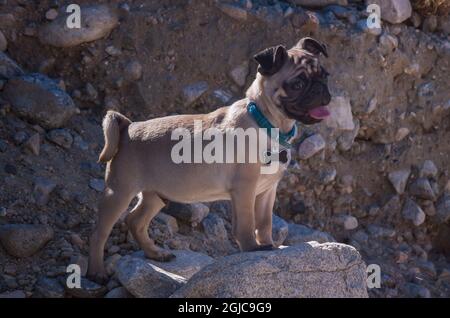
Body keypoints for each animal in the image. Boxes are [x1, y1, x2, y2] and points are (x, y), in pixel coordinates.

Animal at [88, 36, 332, 282]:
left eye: (324, 75)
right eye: (297, 84)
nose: (321, 88)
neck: (267, 123)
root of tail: (128, 127)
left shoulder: (267, 191)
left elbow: (264, 222)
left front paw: (268, 245)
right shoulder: (245, 189)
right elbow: (247, 223)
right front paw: (252, 248)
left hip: (155, 195)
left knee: (135, 221)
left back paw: (155, 253)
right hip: (119, 192)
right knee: (99, 233)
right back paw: (96, 271)